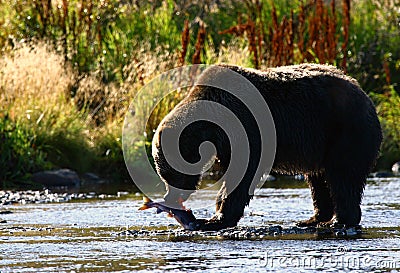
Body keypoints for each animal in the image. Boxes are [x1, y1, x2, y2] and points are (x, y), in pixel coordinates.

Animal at [152, 63, 382, 230]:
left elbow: (243, 174)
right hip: (320, 144)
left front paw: (216, 219)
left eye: (170, 174)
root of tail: (365, 95)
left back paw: (339, 220)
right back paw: (313, 219)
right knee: (318, 179)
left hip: (343, 130)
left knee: (343, 176)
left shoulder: (244, 128)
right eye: (164, 175)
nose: (169, 198)